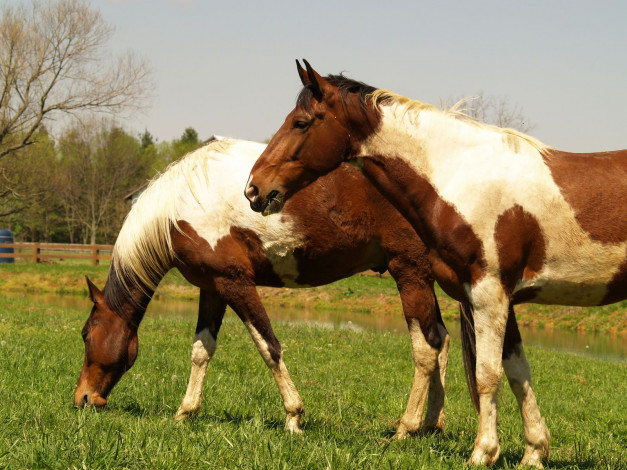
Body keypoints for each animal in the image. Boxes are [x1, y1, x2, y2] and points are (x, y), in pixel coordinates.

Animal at [76, 138, 468, 436]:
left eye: (85, 334)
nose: (83, 398)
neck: (181, 206)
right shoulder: (212, 288)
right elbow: (202, 350)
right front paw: (185, 412)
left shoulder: (235, 284)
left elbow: (269, 347)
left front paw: (294, 417)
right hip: (420, 278)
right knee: (442, 340)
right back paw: (432, 425)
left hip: (410, 273)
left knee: (426, 348)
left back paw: (406, 427)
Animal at [245, 59, 627, 466]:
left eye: (301, 122)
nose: (253, 188)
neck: (464, 180)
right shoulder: (500, 300)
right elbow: (516, 371)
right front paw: (534, 452)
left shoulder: (489, 295)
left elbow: (487, 375)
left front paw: (482, 453)